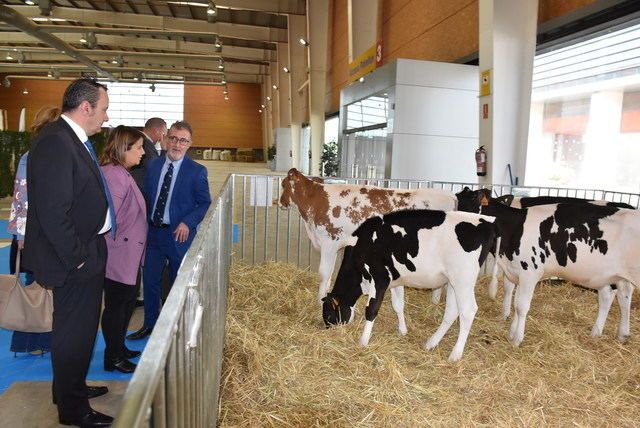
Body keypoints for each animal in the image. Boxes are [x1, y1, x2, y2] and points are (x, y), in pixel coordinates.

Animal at [280, 169, 456, 302]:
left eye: (283, 184)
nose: (279, 202)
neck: (317, 201)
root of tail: (449, 195)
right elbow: (329, 275)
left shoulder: (329, 242)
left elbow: (323, 274)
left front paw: (320, 301)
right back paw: (434, 303)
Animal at [322, 210, 498, 362]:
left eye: (329, 316)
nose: (329, 332)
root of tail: (486, 221)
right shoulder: (395, 279)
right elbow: (398, 305)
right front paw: (403, 331)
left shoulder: (380, 278)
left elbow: (371, 309)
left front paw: (363, 341)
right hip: (454, 281)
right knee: (452, 311)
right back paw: (431, 343)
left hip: (464, 279)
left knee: (468, 311)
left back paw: (455, 354)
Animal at [458, 189, 636, 346]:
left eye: (467, 205)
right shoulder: (517, 270)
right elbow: (516, 300)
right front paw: (511, 330)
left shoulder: (529, 272)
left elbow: (520, 304)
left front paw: (516, 337)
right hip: (613, 276)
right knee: (619, 296)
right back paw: (614, 333)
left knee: (614, 296)